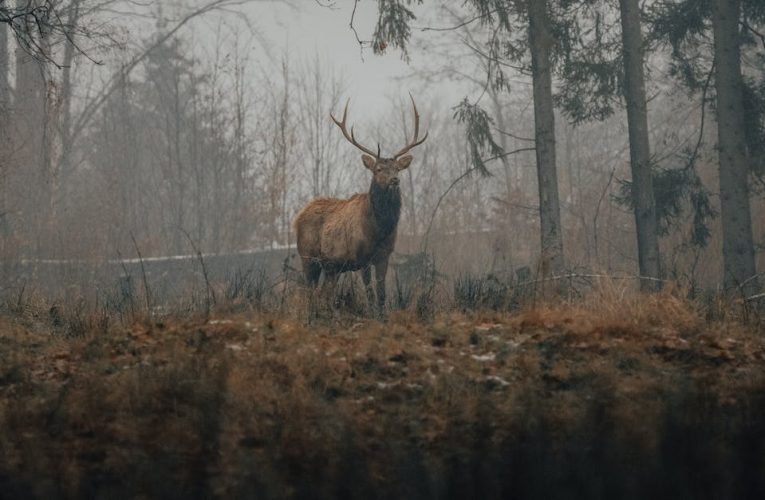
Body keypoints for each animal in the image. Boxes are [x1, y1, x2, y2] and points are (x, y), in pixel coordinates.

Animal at [292, 96, 426, 316]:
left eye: (397, 168)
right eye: (378, 169)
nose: (395, 180)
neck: (379, 229)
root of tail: (297, 217)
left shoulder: (384, 256)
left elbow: (381, 292)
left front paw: (382, 316)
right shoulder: (362, 257)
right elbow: (370, 291)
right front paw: (372, 315)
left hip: (332, 267)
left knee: (324, 293)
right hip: (308, 256)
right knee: (309, 291)